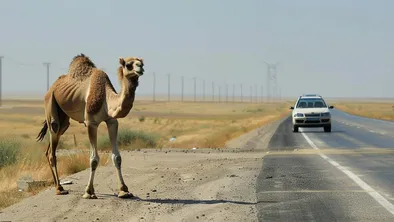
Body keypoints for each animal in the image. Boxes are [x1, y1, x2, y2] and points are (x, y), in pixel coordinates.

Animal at [36, 53, 145, 199]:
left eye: (142, 63)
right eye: (128, 65)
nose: (140, 68)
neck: (106, 99)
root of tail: (52, 87)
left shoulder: (112, 121)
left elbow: (117, 157)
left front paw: (124, 190)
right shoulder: (91, 123)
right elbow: (94, 159)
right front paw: (89, 191)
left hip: (64, 117)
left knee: (51, 147)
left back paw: (58, 186)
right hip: (50, 103)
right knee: (53, 137)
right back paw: (59, 189)